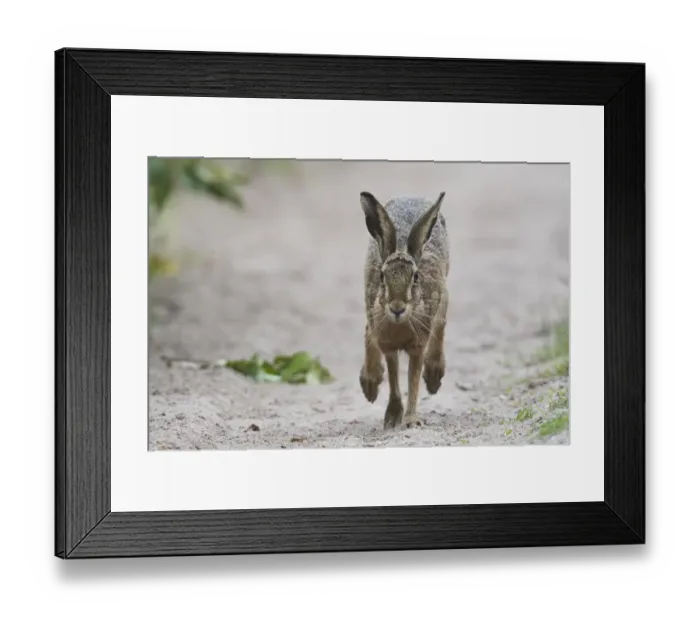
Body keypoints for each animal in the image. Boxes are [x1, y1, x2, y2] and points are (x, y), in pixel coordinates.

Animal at [359, 191, 450, 430]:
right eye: (382, 276)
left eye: (415, 277)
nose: (397, 308)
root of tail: (412, 196)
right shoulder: (388, 345)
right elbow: (394, 377)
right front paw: (392, 417)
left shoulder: (418, 345)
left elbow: (413, 381)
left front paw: (410, 421)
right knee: (367, 331)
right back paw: (370, 384)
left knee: (441, 324)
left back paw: (434, 377)